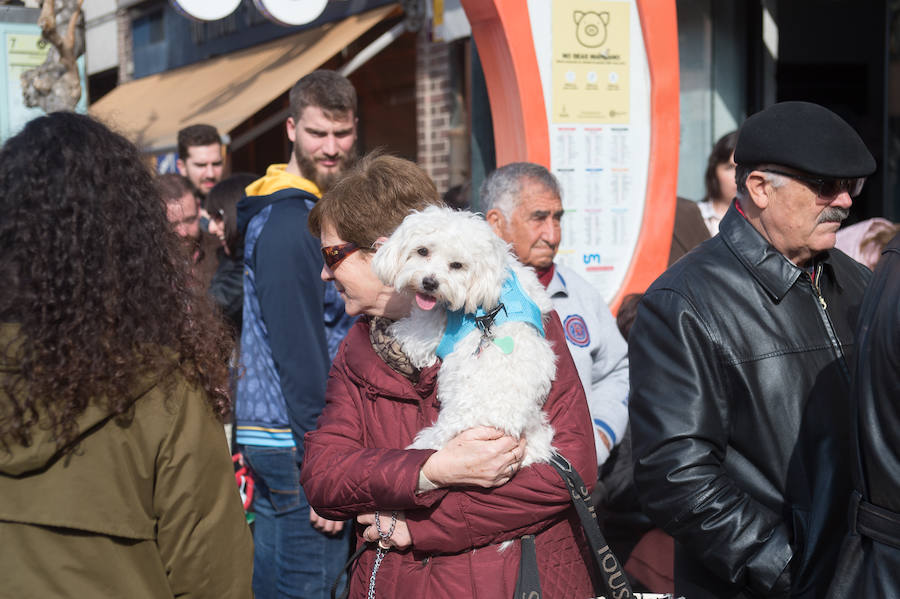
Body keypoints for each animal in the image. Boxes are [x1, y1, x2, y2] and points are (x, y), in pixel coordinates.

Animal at [370, 205, 556, 464]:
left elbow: (410, 334)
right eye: (422, 251)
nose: (429, 282)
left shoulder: (429, 332)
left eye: (457, 265)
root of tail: (506, 427)